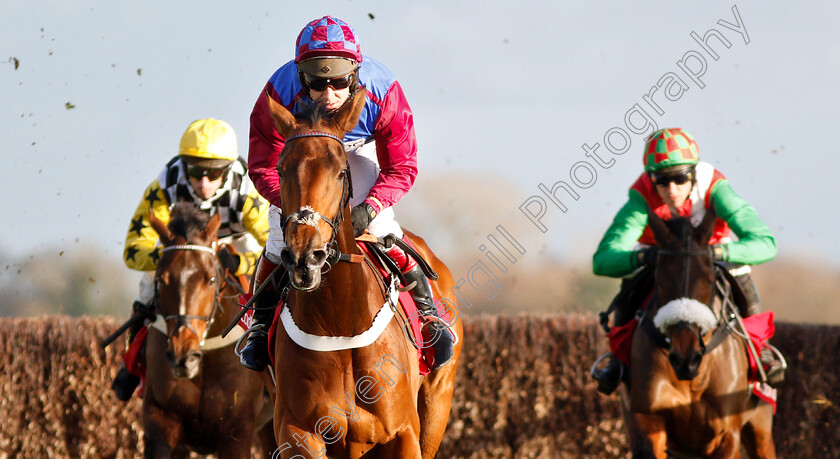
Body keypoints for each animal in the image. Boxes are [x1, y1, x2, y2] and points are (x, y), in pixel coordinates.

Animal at [260, 90, 462, 459]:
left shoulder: (404, 433)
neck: (341, 326)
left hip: (437, 404)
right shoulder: (298, 433)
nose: (305, 257)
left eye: (341, 172)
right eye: (280, 170)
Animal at [620, 206, 776, 459]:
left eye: (708, 279)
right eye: (659, 280)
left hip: (760, 426)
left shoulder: (727, 435)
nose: (686, 359)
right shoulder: (648, 423)